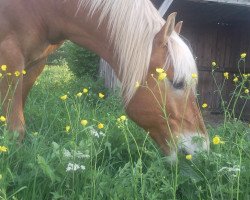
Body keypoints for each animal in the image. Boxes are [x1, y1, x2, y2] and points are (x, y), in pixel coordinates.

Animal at [0, 0, 209, 161]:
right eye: (178, 83)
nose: (202, 148)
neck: (44, 9)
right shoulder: (10, 59)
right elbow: (15, 130)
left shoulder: (34, 65)